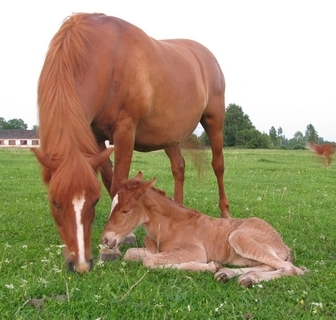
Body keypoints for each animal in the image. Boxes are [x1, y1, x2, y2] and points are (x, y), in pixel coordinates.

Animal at [31, 12, 230, 272]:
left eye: (94, 201)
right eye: (54, 202)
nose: (81, 264)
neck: (104, 59)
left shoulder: (125, 130)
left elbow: (118, 182)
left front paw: (110, 249)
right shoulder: (96, 137)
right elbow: (109, 180)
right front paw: (125, 236)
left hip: (215, 121)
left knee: (218, 166)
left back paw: (225, 213)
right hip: (170, 134)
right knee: (179, 167)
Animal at [100, 172, 308, 288]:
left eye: (126, 210)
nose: (106, 240)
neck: (168, 226)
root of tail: (282, 244)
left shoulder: (195, 251)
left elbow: (149, 262)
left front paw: (210, 266)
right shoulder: (154, 249)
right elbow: (131, 255)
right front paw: (216, 267)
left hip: (239, 237)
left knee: (290, 268)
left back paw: (245, 278)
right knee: (272, 265)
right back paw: (229, 274)